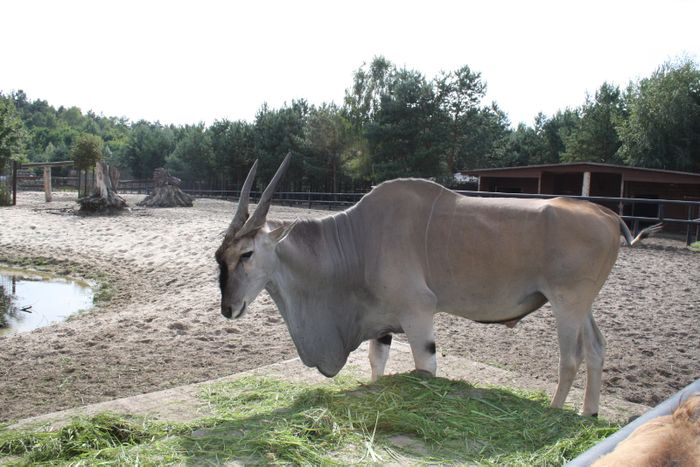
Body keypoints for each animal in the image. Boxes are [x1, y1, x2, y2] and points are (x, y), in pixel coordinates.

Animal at [215, 154, 660, 416]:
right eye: (220, 256)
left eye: (247, 254)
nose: (228, 308)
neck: (359, 239)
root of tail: (608, 215)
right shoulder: (383, 325)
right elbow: (377, 365)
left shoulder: (418, 315)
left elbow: (425, 368)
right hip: (583, 306)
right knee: (597, 348)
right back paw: (589, 414)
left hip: (566, 304)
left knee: (571, 357)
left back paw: (552, 414)